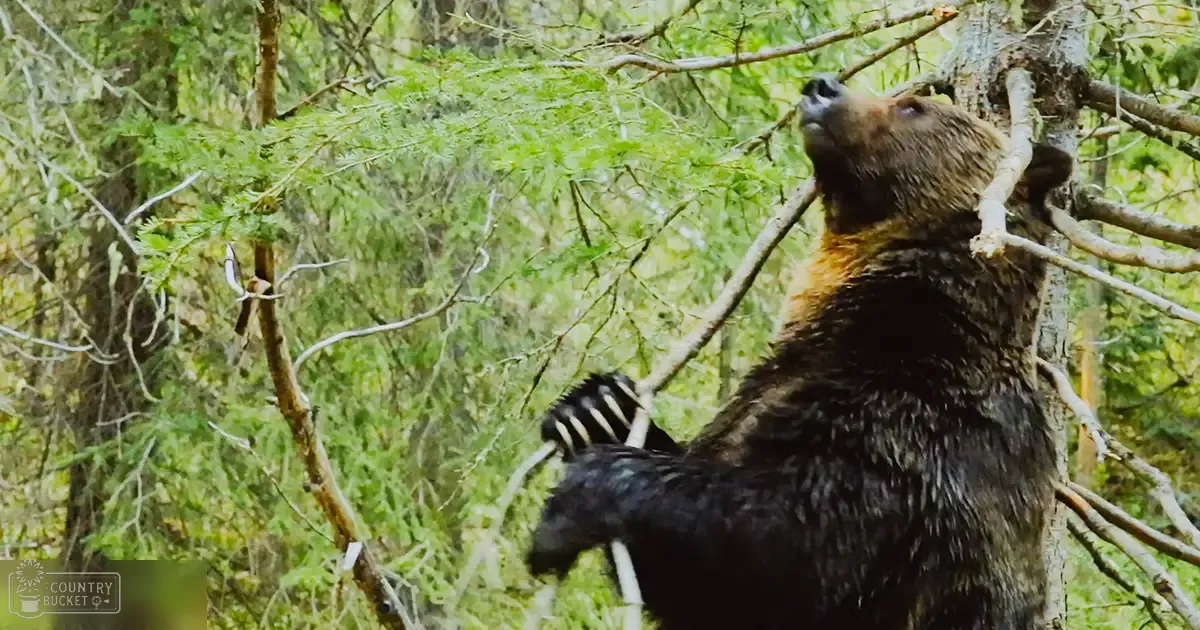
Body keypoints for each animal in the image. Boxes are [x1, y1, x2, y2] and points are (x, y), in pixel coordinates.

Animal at [526, 73, 1074, 630]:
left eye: (912, 107)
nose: (822, 85)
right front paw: (595, 408)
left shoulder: (915, 434)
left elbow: (792, 541)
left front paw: (577, 499)